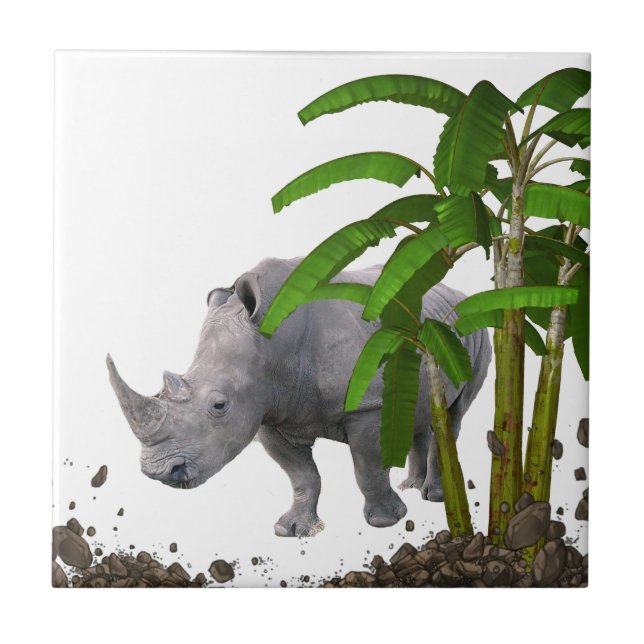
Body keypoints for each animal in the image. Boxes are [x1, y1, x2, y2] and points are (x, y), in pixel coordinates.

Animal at [107, 257, 491, 537]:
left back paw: (434, 496)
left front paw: (385, 521)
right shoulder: (268, 412)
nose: (158, 472)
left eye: (219, 405)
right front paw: (292, 528)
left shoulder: (368, 405)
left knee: (453, 415)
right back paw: (411, 485)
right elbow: (302, 476)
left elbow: (366, 467)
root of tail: (456, 293)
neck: (273, 344)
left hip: (474, 333)